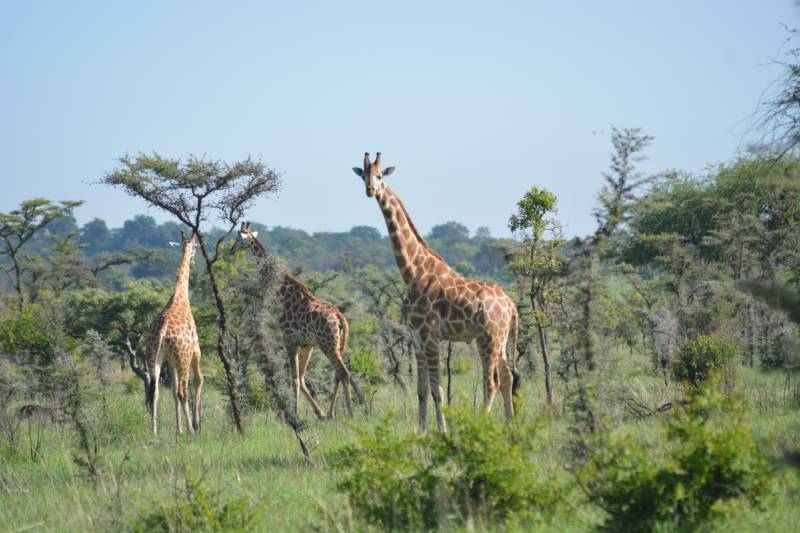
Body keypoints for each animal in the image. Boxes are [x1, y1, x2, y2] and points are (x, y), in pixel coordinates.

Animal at [145, 231, 203, 436]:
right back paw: (192, 431)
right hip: (183, 357)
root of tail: (162, 331)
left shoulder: (170, 358)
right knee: (183, 391)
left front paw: (179, 430)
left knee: (155, 391)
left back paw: (154, 431)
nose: (193, 263)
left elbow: (171, 391)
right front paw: (194, 425)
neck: (180, 296)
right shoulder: (195, 350)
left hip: (154, 356)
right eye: (195, 249)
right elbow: (199, 380)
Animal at [237, 222, 362, 420]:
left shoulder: (290, 340)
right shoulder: (306, 344)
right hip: (338, 344)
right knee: (338, 374)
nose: (230, 250)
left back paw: (350, 414)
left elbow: (294, 379)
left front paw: (294, 415)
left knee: (343, 372)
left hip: (328, 345)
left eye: (236, 238)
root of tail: (340, 318)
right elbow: (301, 378)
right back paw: (332, 413)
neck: (284, 292)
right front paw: (318, 413)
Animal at [352, 152, 520, 433]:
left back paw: (481, 425)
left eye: (380, 175)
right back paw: (509, 424)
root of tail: (512, 306)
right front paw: (421, 432)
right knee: (507, 378)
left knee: (492, 382)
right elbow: (421, 390)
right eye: (363, 175)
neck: (412, 272)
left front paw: (443, 432)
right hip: (502, 339)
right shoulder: (417, 339)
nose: (370, 190)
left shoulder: (430, 337)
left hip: (488, 338)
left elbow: (438, 391)